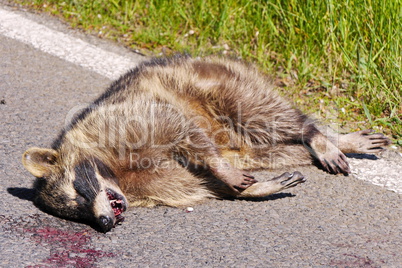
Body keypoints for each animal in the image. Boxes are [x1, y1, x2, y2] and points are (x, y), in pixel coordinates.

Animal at [21, 55, 390, 232]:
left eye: (79, 193)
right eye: (76, 214)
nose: (104, 223)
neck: (114, 173)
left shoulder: (122, 121)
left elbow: (177, 125)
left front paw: (223, 172)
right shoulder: (153, 185)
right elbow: (197, 184)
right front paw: (255, 189)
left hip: (222, 84)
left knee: (271, 116)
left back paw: (320, 137)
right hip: (247, 145)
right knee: (276, 150)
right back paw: (329, 144)